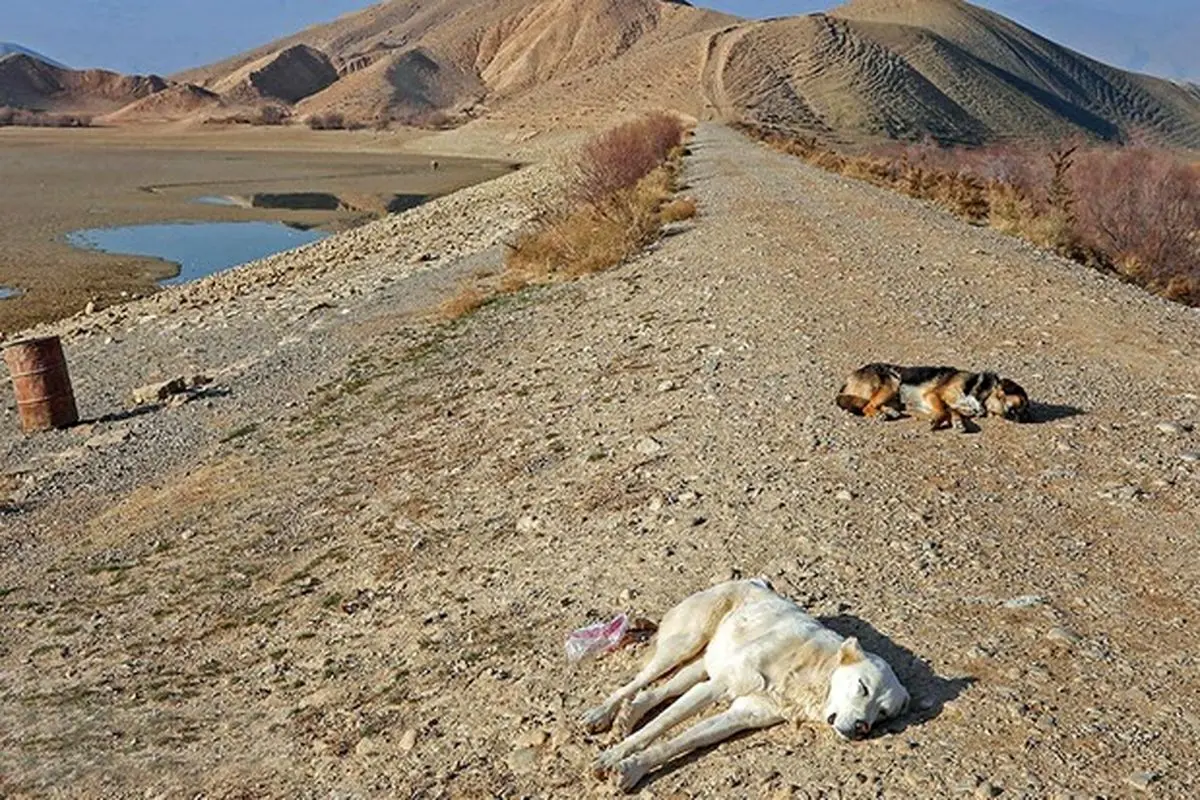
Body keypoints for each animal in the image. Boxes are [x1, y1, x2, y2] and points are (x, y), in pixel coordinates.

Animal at [580, 578, 907, 791]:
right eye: (862, 687)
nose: (862, 729)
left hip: (704, 663)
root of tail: (755, 580)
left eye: (883, 714)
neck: (808, 675)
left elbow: (684, 739)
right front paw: (614, 756)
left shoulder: (740, 715)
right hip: (684, 646)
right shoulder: (719, 686)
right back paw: (601, 714)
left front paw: (632, 768)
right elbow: (659, 726)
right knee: (638, 682)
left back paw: (626, 716)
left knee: (658, 692)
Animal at [835, 364, 1032, 431]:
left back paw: (890, 411)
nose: (1022, 419)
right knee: (866, 406)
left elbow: (952, 411)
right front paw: (937, 420)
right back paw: (879, 414)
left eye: (1024, 410)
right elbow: (944, 410)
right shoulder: (932, 395)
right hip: (892, 381)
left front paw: (958, 422)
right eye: (1020, 404)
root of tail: (849, 380)